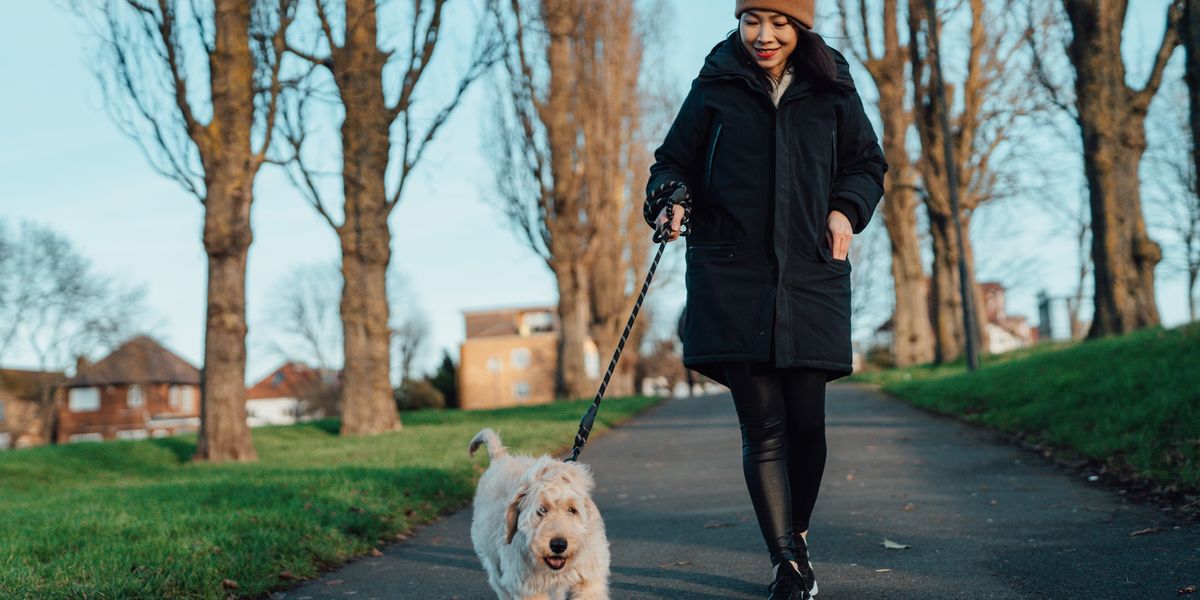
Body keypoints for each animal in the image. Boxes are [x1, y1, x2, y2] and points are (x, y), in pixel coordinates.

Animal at [468, 429, 609, 597]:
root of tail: (500, 457)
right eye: (541, 510)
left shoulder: (589, 579)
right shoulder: (527, 587)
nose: (559, 545)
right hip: (493, 560)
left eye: (571, 510)